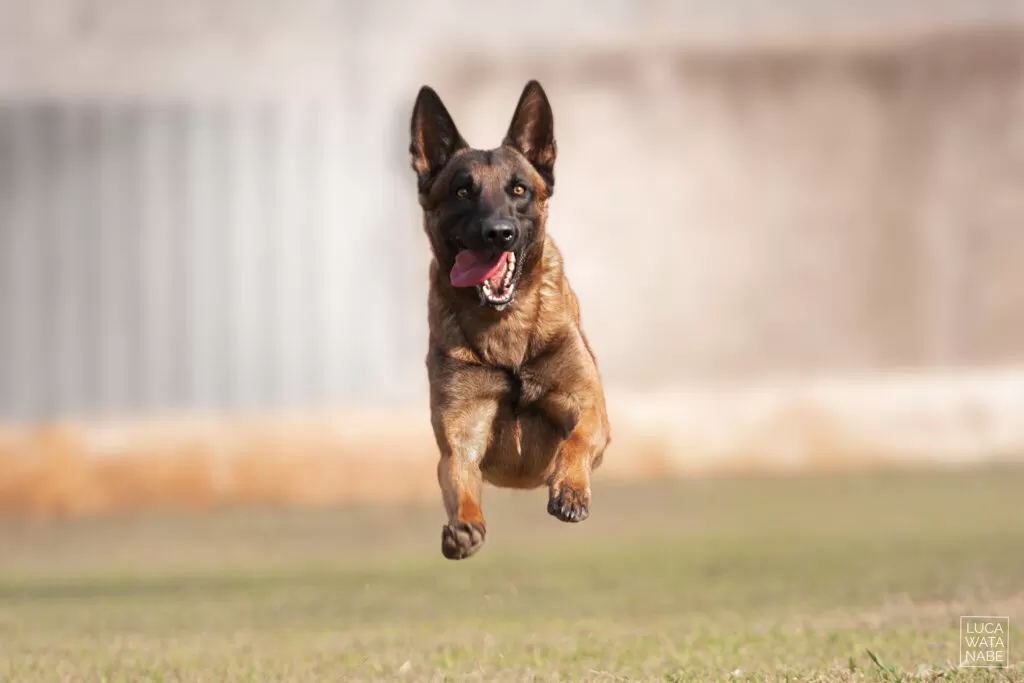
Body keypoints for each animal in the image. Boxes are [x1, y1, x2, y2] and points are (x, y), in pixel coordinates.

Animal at [407, 81, 606, 561]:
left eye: (518, 190)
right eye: (462, 192)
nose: (499, 233)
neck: (506, 329)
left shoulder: (589, 405)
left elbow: (576, 439)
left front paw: (570, 490)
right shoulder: (461, 434)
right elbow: (459, 478)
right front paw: (463, 525)